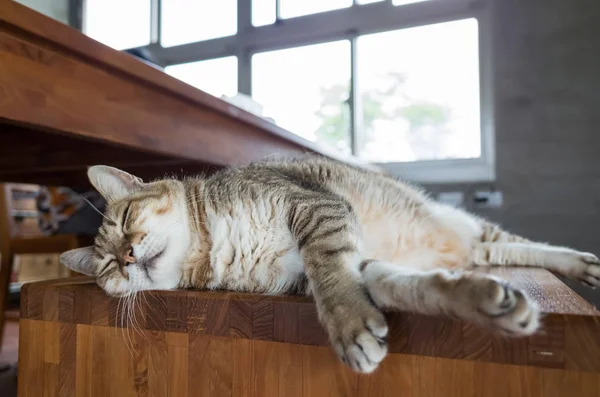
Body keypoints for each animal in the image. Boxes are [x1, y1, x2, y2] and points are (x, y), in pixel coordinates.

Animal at [61, 156, 600, 372]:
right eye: (106, 266)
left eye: (126, 218)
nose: (127, 256)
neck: (215, 245)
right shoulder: (318, 273)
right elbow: (401, 283)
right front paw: (482, 301)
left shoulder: (316, 209)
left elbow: (331, 272)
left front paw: (347, 322)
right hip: (477, 248)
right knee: (496, 254)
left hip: (468, 226)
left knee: (519, 244)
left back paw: (583, 262)